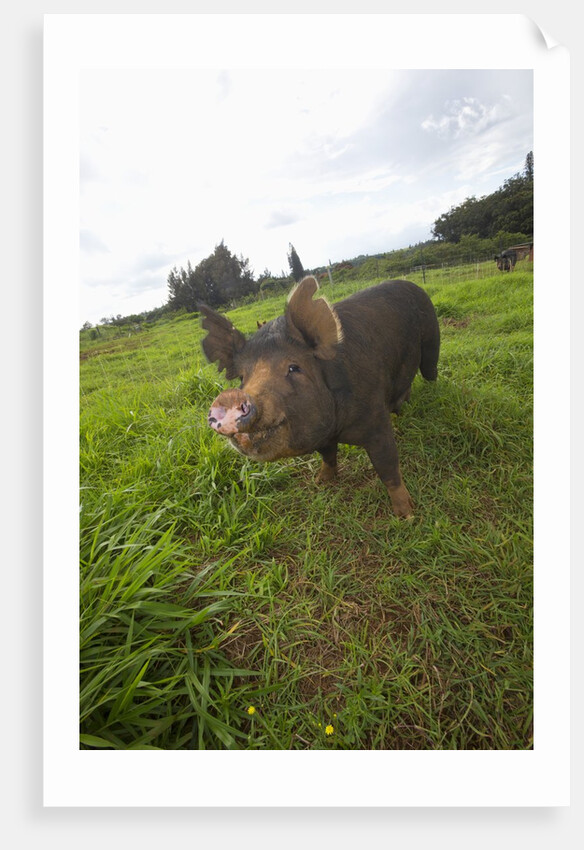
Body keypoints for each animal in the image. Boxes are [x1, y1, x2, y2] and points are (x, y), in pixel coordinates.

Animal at [199, 276, 440, 517]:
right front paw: (320, 482)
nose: (232, 397)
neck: (338, 431)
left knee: (430, 372)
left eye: (294, 368)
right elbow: (327, 456)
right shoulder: (323, 435)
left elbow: (387, 466)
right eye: (242, 377)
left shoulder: (376, 421)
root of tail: (409, 283)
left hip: (432, 342)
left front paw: (406, 515)